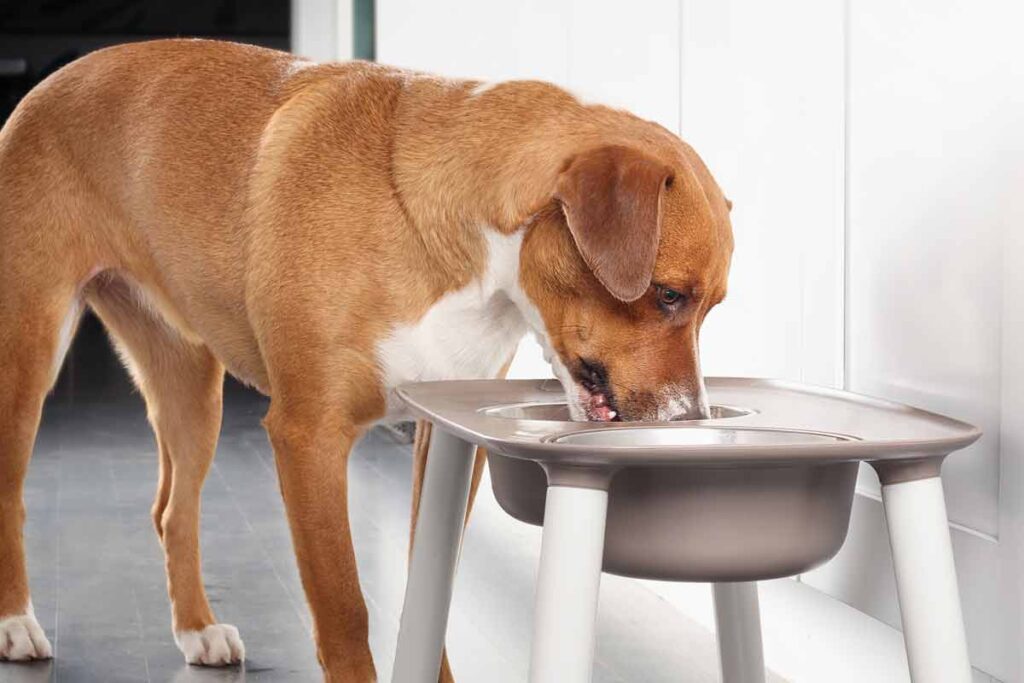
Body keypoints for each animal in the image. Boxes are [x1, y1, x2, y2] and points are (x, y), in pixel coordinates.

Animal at [0, 40, 737, 679]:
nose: (692, 419)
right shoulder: (309, 438)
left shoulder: (445, 439)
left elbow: (429, 588)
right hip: (26, 360)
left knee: (173, 512)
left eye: (712, 307)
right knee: (14, 493)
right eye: (668, 295)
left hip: (190, 388)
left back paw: (197, 630)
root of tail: (54, 79)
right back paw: (17, 626)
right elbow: (346, 613)